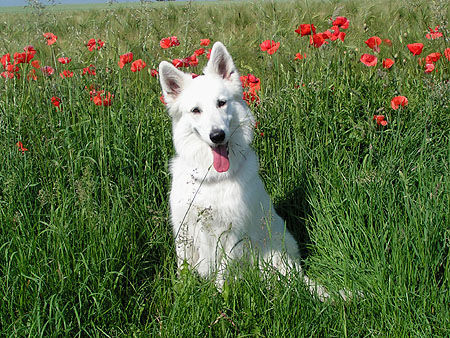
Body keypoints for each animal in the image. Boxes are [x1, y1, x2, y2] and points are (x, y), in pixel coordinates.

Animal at [158, 41, 342, 302]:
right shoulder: (184, 229)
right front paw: (183, 295)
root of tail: (297, 273)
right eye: (196, 110)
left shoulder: (231, 235)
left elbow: (222, 276)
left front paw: (220, 301)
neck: (211, 179)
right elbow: (183, 271)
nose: (217, 135)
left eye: (221, 103)